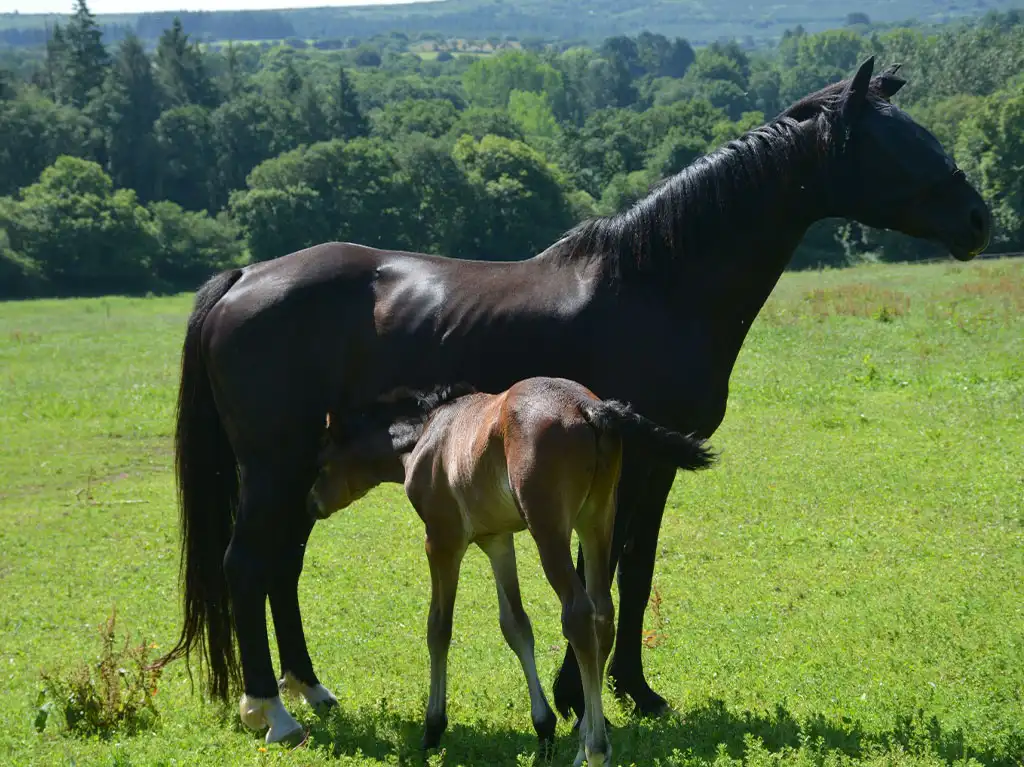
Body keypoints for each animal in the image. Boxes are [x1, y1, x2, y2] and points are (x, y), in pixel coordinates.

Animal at [304, 378, 716, 765]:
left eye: (322, 461)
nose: (313, 503)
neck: (429, 434)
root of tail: (588, 409)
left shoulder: (442, 539)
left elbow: (438, 628)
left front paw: (433, 728)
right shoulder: (497, 540)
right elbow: (516, 625)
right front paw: (544, 728)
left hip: (549, 529)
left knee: (578, 615)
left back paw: (595, 749)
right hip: (598, 520)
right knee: (603, 614)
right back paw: (583, 742)